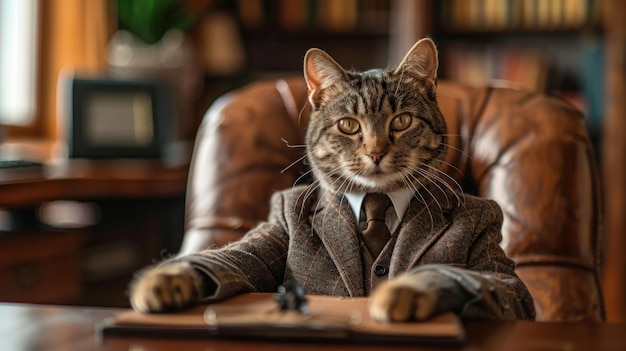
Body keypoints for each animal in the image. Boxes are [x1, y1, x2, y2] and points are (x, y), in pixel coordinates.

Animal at [129, 37, 532, 322]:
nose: (375, 152)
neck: (377, 200)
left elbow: (492, 283)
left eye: (401, 121)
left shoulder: (499, 270)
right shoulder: (276, 227)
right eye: (349, 125)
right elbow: (233, 256)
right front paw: (166, 278)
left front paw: (406, 290)